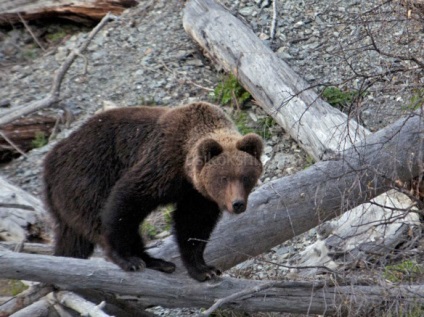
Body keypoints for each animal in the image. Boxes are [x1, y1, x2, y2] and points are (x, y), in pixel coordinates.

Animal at [42, 100, 262, 278]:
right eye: (223, 178)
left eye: (246, 177)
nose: (237, 204)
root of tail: (50, 161)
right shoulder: (161, 164)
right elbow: (126, 201)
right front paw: (126, 258)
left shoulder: (198, 194)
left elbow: (193, 223)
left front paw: (204, 269)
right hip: (86, 177)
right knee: (96, 215)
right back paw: (142, 259)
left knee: (73, 240)